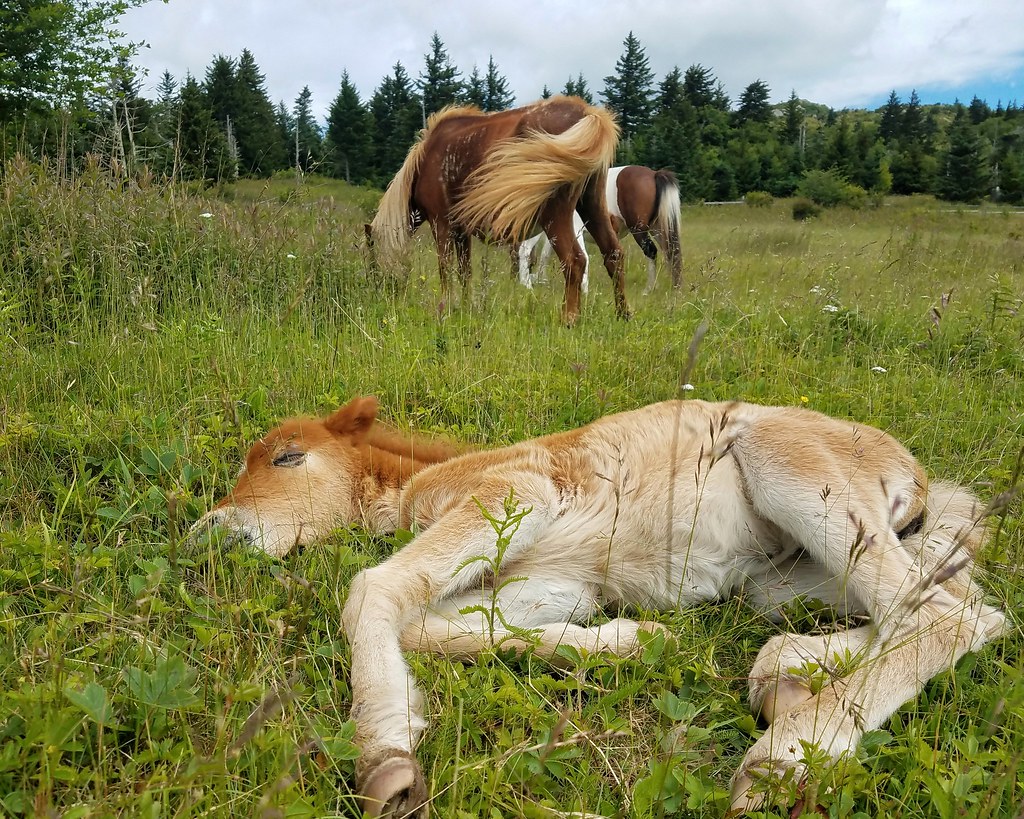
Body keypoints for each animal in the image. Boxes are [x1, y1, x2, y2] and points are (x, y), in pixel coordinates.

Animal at [192, 395, 1007, 810]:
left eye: (288, 457)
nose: (209, 531)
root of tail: (917, 475)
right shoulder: (554, 582)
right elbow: (428, 625)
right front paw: (638, 642)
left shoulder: (515, 493)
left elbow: (372, 589)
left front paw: (385, 761)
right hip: (779, 580)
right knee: (960, 606)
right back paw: (786, 673)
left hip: (794, 470)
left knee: (949, 615)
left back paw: (785, 758)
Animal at [364, 94, 626, 325]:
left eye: (371, 256)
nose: (374, 288)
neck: (424, 162)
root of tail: (587, 112)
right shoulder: (461, 232)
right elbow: (465, 272)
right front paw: (465, 306)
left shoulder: (442, 225)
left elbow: (445, 268)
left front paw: (444, 308)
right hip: (592, 206)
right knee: (613, 255)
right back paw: (622, 314)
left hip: (555, 216)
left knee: (575, 262)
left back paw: (569, 318)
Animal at [520, 162, 679, 294]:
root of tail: (654, 174)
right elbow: (547, 255)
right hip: (658, 229)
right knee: (671, 252)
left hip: (640, 230)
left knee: (653, 252)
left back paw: (650, 289)